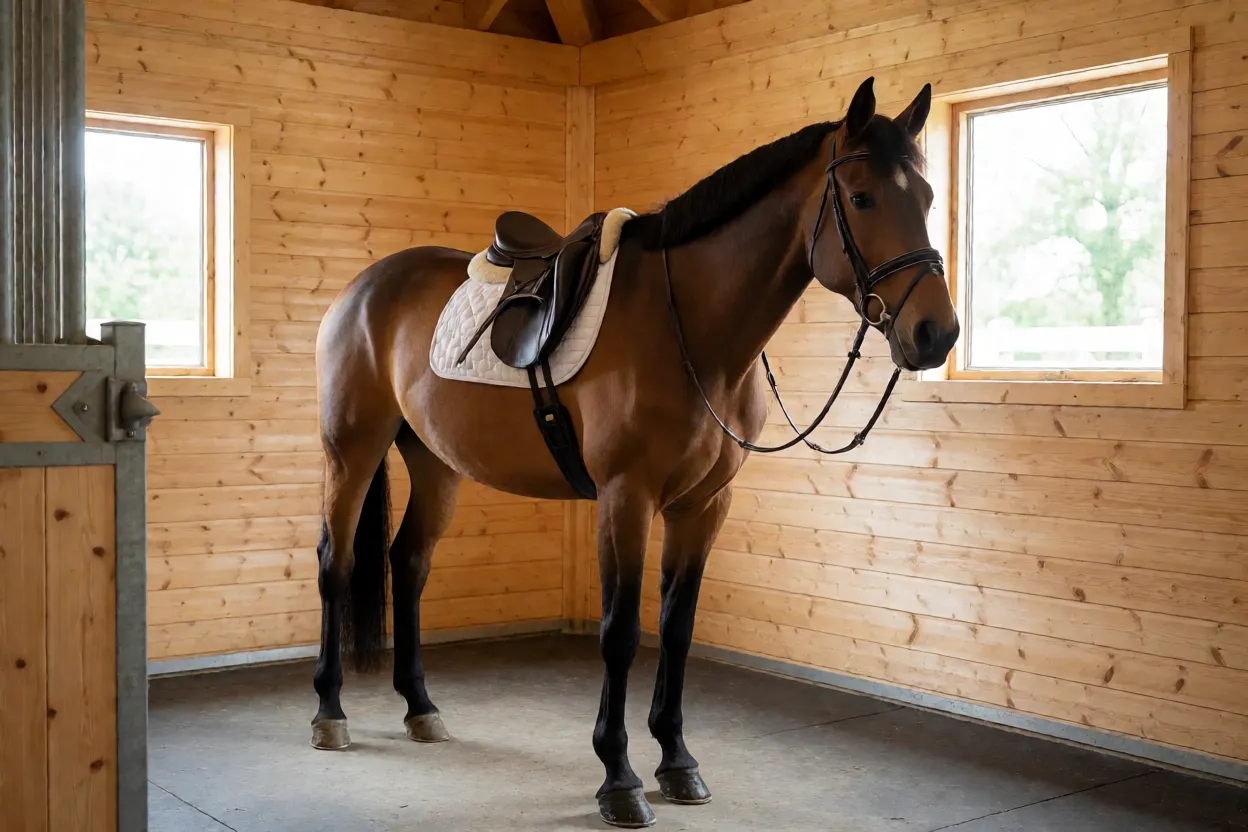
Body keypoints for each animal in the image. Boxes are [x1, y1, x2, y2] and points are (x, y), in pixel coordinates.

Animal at [310, 75, 959, 828]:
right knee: (336, 563)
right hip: (352, 450)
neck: (692, 332)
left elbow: (676, 628)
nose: (936, 333)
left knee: (408, 564)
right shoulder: (626, 498)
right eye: (861, 198)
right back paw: (329, 713)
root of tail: (364, 288)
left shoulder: (702, 505)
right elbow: (620, 631)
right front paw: (618, 778)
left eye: (927, 199)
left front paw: (677, 763)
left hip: (436, 463)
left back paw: (421, 708)